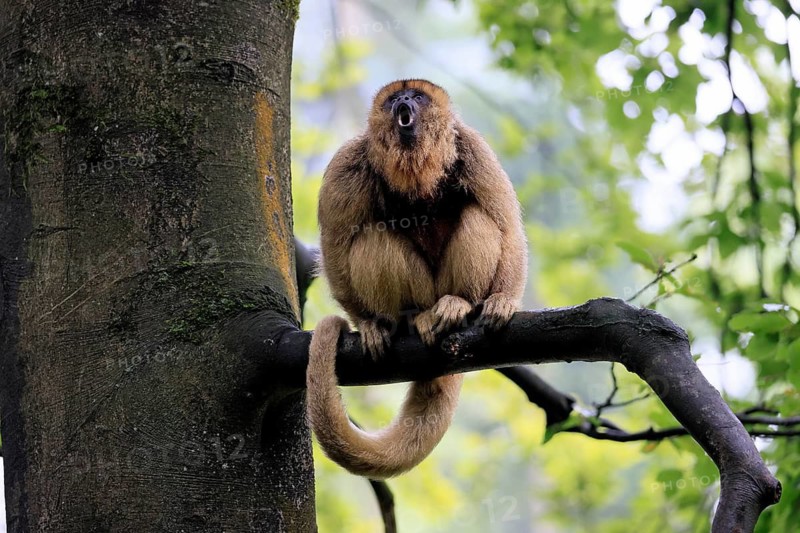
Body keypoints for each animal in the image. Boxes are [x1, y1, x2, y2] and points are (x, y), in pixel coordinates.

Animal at [306, 79, 528, 479]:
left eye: (418, 97)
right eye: (396, 98)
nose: (405, 101)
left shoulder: (473, 147)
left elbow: (506, 226)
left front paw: (503, 300)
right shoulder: (348, 161)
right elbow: (335, 243)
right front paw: (367, 323)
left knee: (478, 215)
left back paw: (458, 305)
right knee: (371, 234)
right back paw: (405, 320)